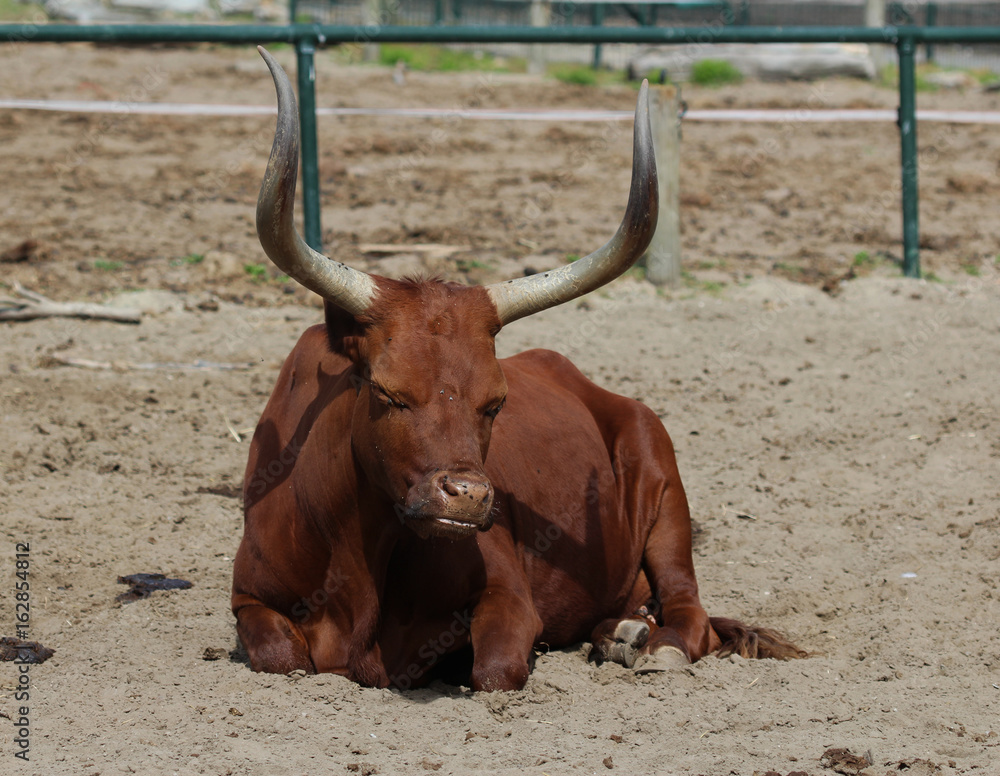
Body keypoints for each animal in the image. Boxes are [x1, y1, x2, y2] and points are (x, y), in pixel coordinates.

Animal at [232, 47, 805, 692]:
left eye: (496, 401)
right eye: (386, 392)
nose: (467, 497)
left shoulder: (509, 596)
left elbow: (496, 671)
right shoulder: (248, 597)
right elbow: (280, 655)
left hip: (667, 497)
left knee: (691, 613)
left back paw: (651, 645)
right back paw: (621, 632)